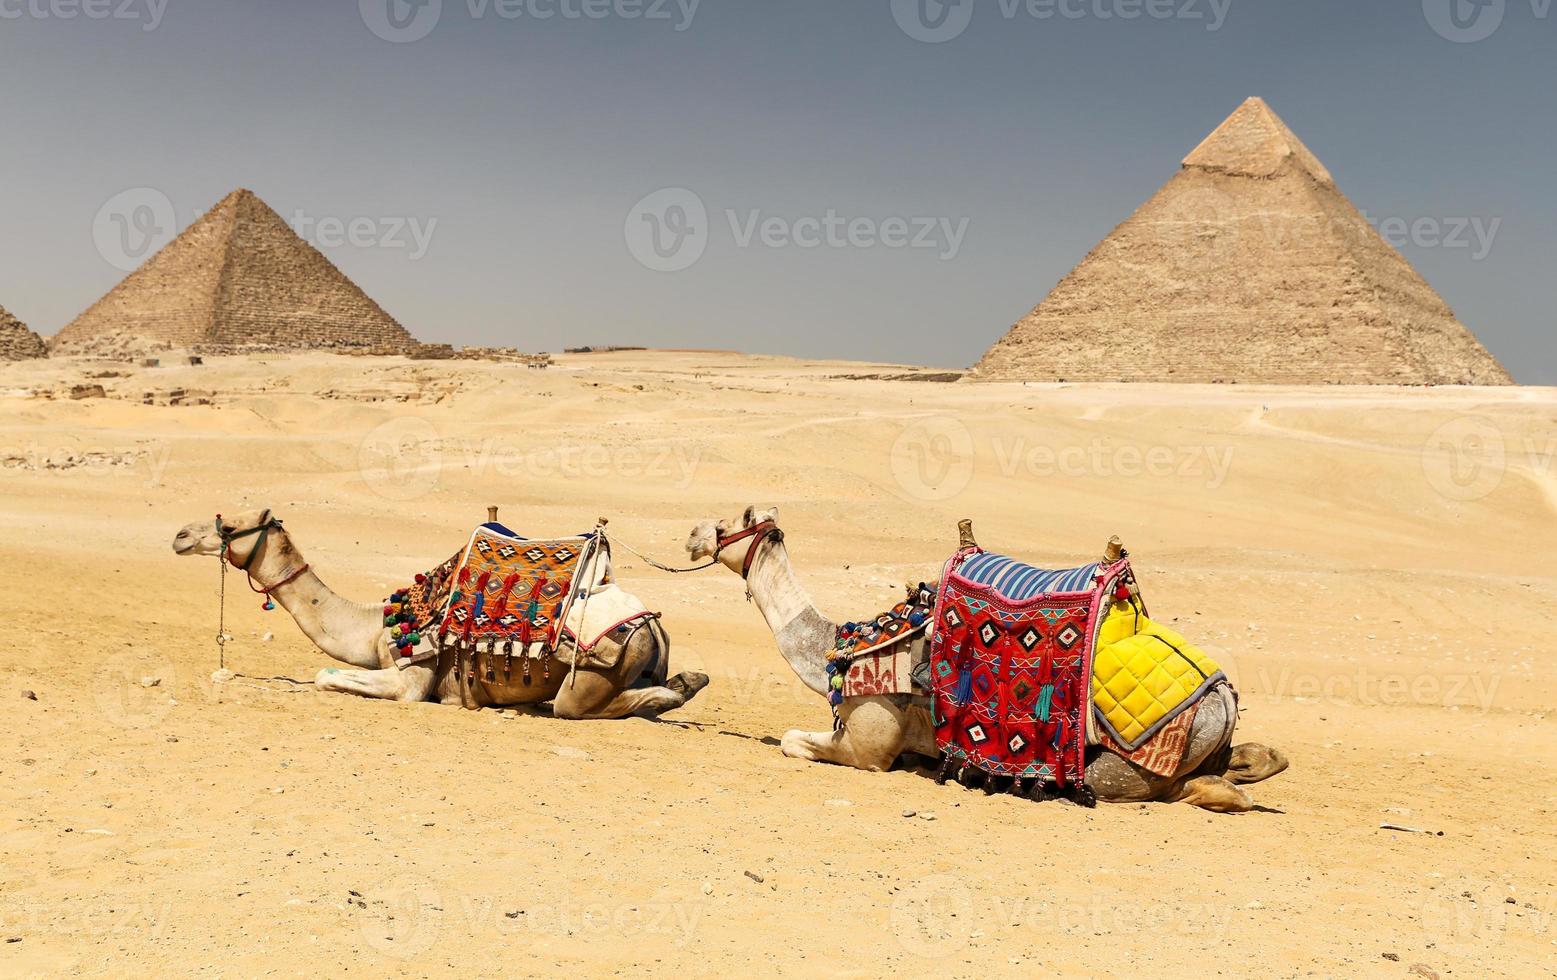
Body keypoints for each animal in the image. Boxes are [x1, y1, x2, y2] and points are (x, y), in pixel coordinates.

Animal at [175, 507, 706, 713]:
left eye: (231, 526)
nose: (180, 535)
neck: (372, 624)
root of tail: (650, 623)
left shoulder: (414, 677)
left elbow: (326, 676)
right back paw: (690, 679)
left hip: (591, 676)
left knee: (582, 705)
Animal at [685, 504, 1289, 810]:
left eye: (726, 522)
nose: (691, 535)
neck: (842, 647)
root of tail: (1222, 694)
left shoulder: (867, 745)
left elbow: (794, 741)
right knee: (1253, 760)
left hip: (1124, 767)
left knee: (1168, 789)